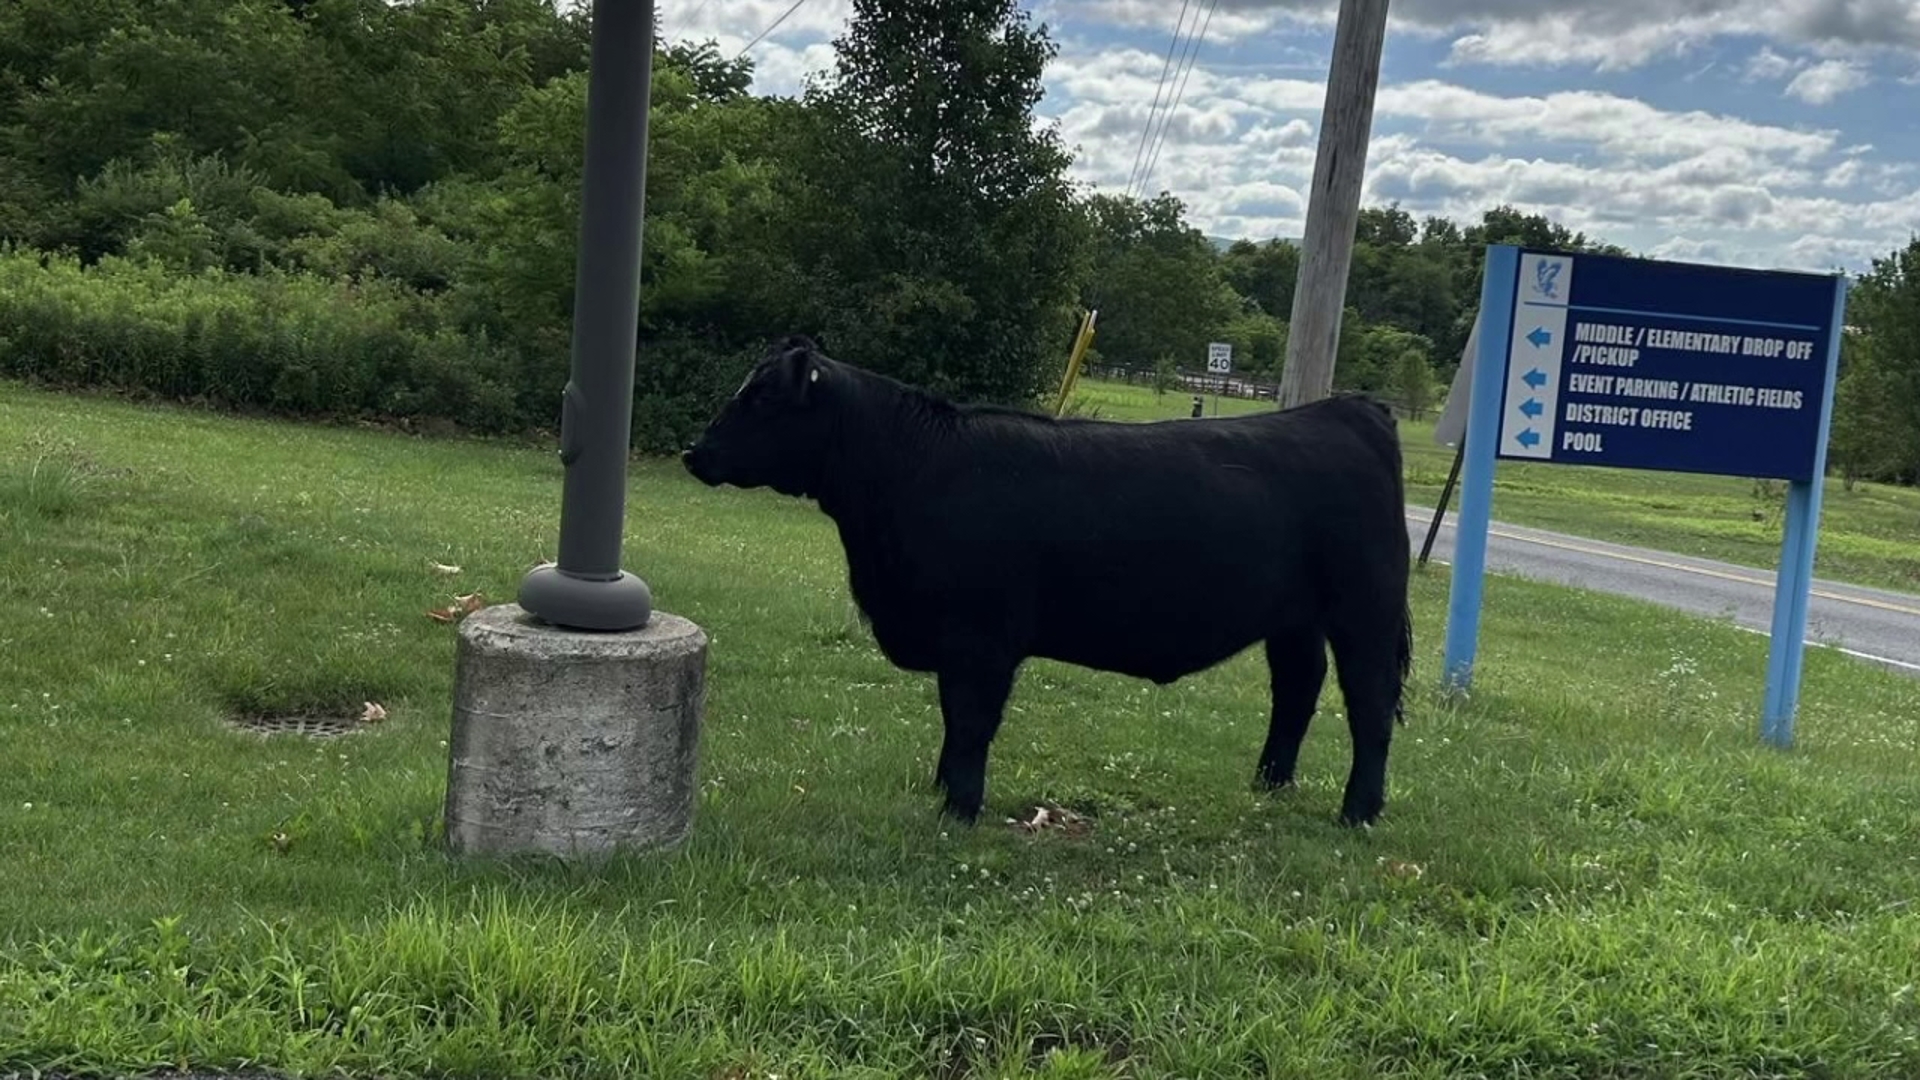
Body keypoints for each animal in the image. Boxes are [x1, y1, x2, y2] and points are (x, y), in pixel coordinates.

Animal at [682, 334, 1414, 827]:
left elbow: (969, 720)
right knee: (1297, 690)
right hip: (1294, 618)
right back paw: (1270, 785)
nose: (695, 451)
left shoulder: (978, 638)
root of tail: (1349, 411)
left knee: (1369, 705)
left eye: (763, 398)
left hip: (1365, 608)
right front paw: (942, 790)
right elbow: (952, 721)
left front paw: (959, 807)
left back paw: (1358, 810)